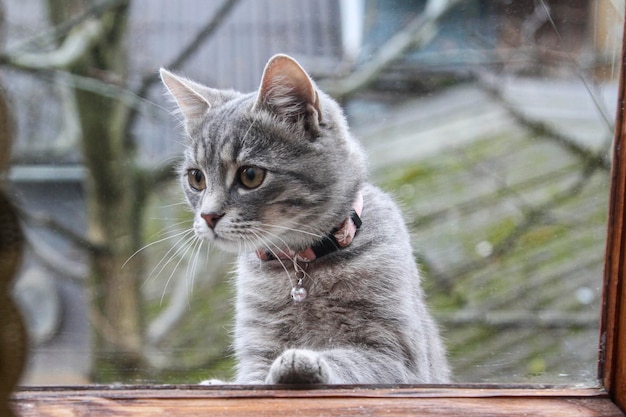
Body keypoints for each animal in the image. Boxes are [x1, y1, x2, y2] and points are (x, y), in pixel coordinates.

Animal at [158, 54, 446, 384]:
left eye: (250, 175)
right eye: (196, 178)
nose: (208, 215)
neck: (302, 264)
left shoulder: (395, 354)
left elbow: (349, 359)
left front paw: (300, 361)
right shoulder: (257, 347)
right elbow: (252, 379)